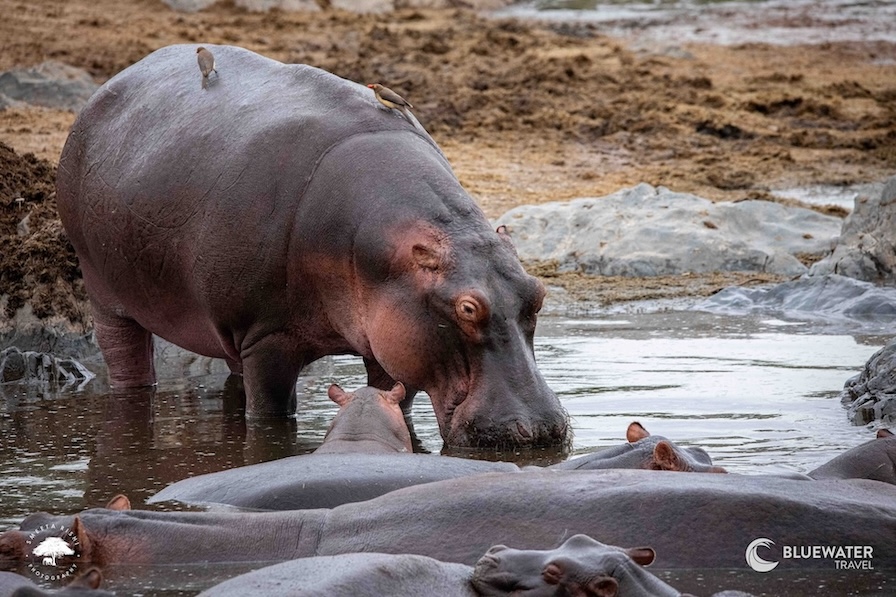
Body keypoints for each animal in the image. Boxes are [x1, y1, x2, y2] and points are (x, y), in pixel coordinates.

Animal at [55, 43, 567, 448]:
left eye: (538, 294)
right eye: (467, 308)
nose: (537, 430)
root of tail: (111, 84)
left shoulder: (392, 335)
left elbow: (395, 399)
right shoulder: (266, 337)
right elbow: (270, 418)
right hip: (106, 293)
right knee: (127, 365)